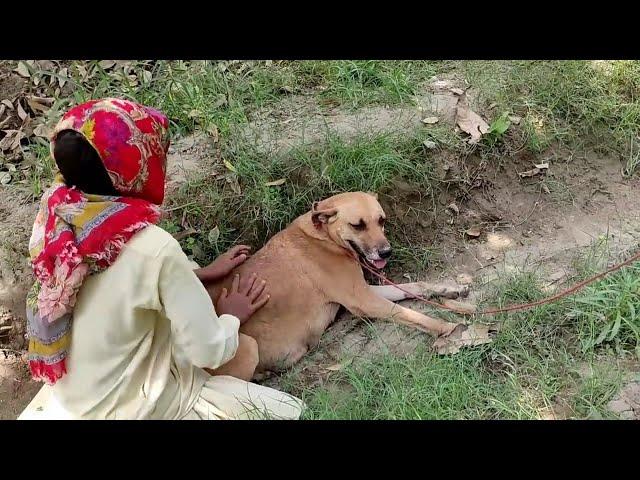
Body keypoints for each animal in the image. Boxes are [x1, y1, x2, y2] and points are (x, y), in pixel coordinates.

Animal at [208, 193, 468, 380]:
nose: (386, 252)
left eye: (381, 220)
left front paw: (448, 289)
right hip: (247, 346)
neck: (324, 237)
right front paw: (444, 327)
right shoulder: (364, 301)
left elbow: (415, 286)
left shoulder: (363, 291)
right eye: (358, 225)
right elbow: (410, 313)